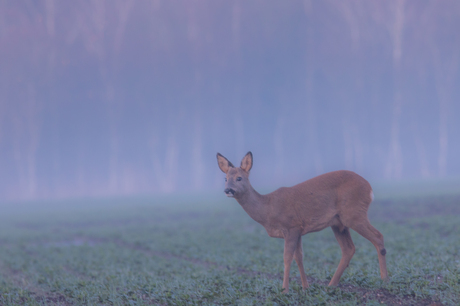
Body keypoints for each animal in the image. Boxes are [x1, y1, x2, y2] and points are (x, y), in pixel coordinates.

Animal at [217, 152, 388, 292]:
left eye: (239, 178)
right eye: (225, 179)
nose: (227, 190)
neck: (268, 209)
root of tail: (369, 188)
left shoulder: (291, 226)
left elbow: (287, 258)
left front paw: (285, 289)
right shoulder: (298, 230)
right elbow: (299, 257)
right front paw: (305, 287)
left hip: (353, 213)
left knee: (378, 236)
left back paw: (384, 280)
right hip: (338, 222)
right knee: (349, 249)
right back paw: (331, 285)